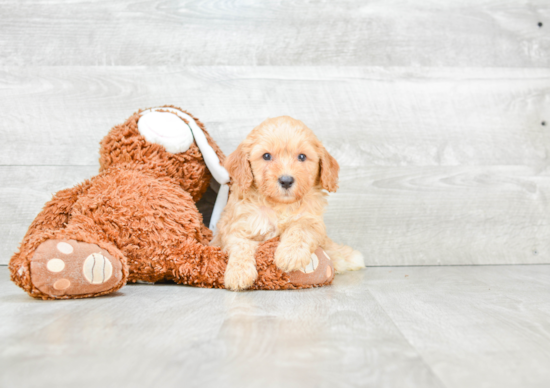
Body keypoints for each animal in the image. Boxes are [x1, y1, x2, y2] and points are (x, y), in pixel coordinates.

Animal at [212, 116, 366, 292]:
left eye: (302, 157)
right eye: (266, 156)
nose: (286, 180)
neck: (279, 205)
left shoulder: (312, 219)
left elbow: (301, 228)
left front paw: (291, 255)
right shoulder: (237, 225)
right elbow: (240, 245)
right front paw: (238, 273)